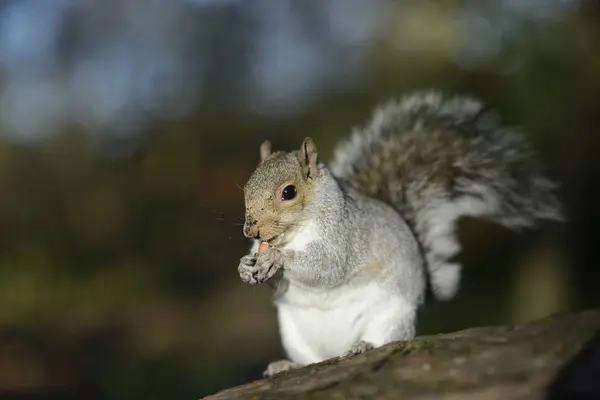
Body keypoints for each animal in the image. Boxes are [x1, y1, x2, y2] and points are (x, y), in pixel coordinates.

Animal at [238, 90, 564, 378]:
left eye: (289, 192)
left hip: (393, 315)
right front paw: (246, 266)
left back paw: (362, 345)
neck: (296, 234)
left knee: (387, 338)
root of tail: (336, 351)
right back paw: (287, 366)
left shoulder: (344, 237)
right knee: (311, 360)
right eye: (247, 187)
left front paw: (277, 259)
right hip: (293, 333)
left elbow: (328, 266)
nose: (251, 228)